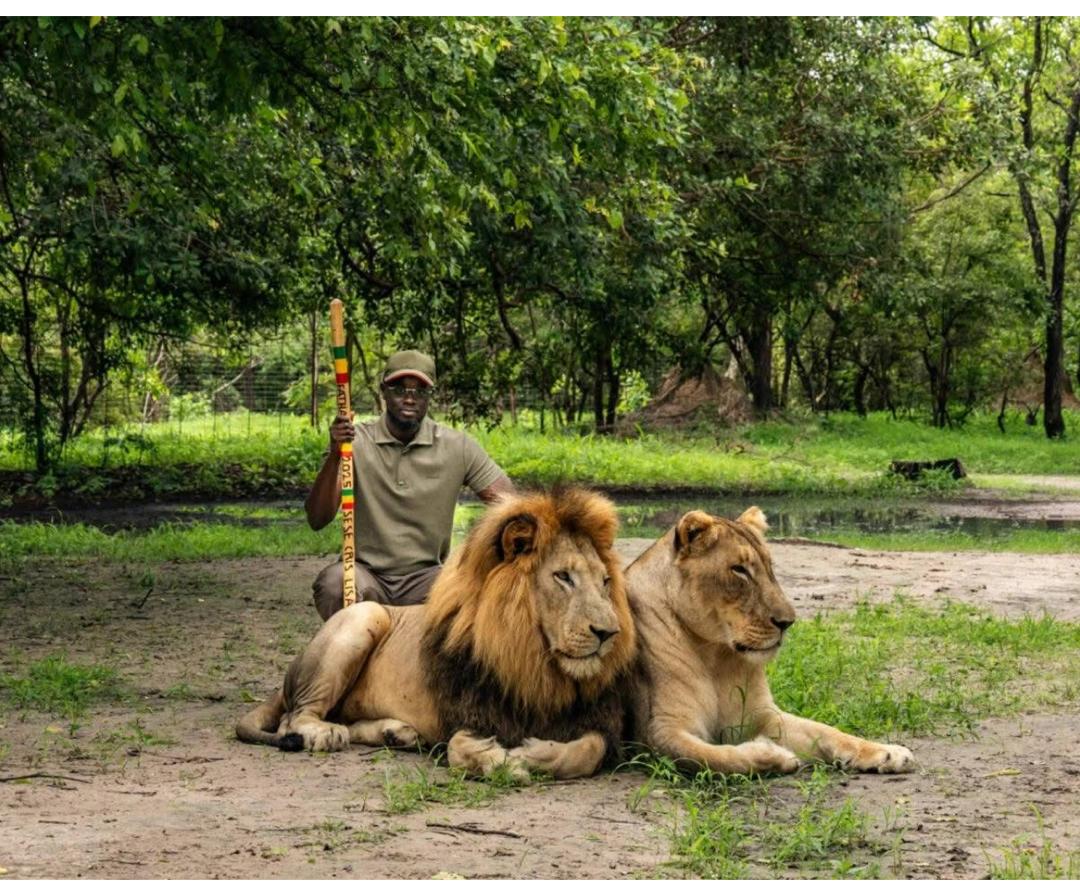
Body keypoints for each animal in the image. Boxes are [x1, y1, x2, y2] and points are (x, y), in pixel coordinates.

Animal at [236, 488, 636, 780]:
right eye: (563, 577)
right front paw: (497, 759)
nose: (608, 632)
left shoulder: (593, 720)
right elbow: (459, 749)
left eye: (605, 582)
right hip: (363, 616)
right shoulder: (470, 711)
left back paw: (395, 732)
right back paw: (323, 733)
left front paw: (533, 753)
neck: (534, 661)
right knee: (293, 718)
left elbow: (586, 752)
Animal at [625, 507, 914, 775]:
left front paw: (888, 752)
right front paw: (774, 755)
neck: (717, 656)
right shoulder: (658, 733)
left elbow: (827, 731)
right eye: (739, 570)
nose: (787, 622)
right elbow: (715, 757)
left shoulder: (762, 714)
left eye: (769, 567)